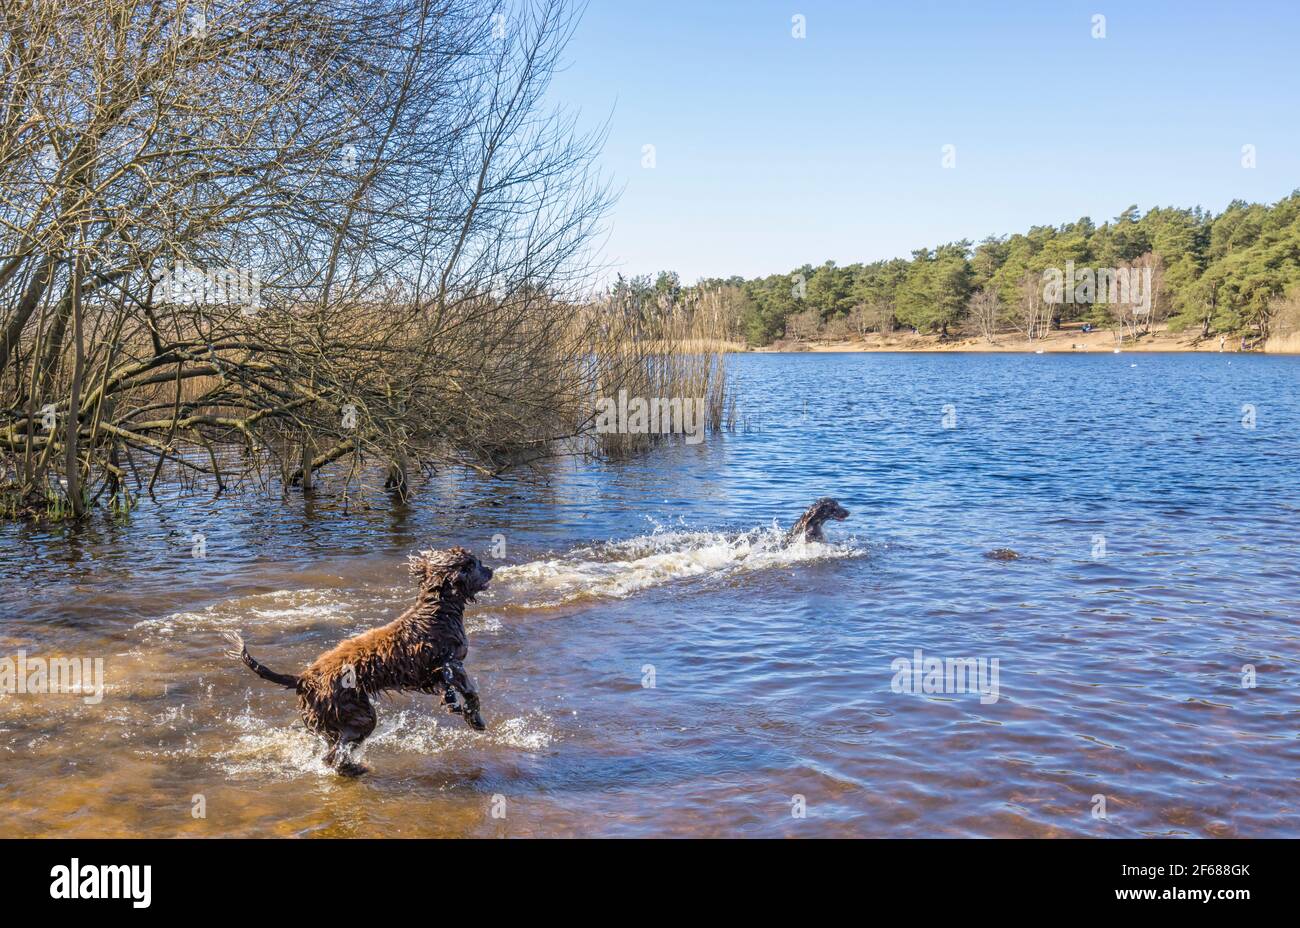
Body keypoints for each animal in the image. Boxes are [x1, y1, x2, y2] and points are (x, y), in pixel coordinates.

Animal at [228, 545, 491, 769]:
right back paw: (354, 768)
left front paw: (457, 707)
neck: (437, 610)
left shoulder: (437, 673)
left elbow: (451, 693)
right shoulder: (453, 664)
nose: (490, 569)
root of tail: (302, 678)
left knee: (331, 751)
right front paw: (476, 719)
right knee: (337, 754)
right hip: (358, 714)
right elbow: (471, 692)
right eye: (473, 563)